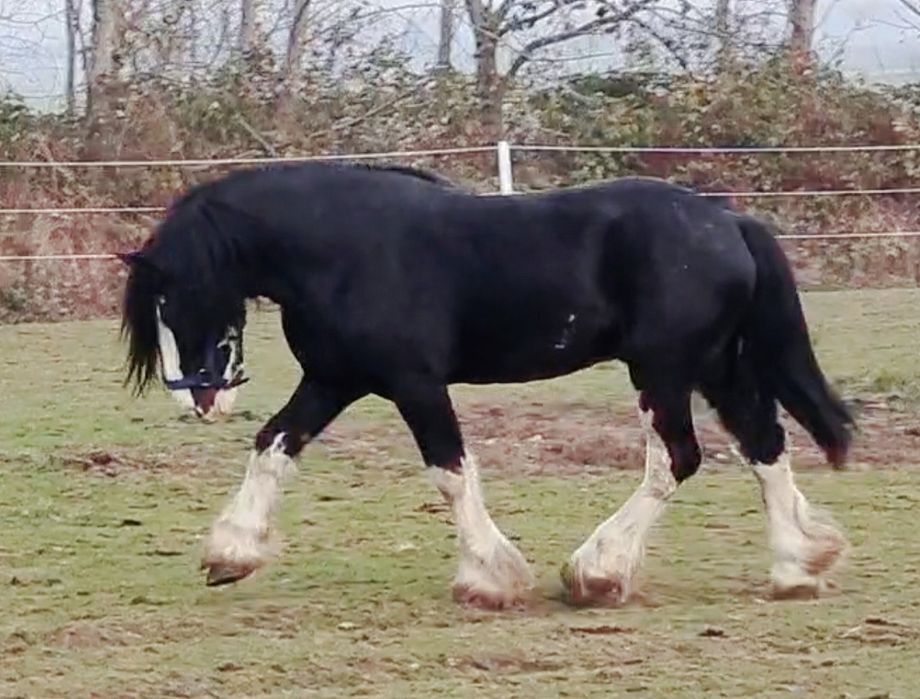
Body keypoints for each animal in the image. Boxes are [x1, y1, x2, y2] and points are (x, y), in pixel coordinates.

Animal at [119, 161, 854, 609]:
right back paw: (797, 566)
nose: (198, 396)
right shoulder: (334, 380)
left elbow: (450, 471)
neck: (340, 249)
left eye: (176, 298)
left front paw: (489, 578)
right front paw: (229, 553)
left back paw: (597, 571)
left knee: (676, 459)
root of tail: (730, 221)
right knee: (764, 444)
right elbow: (273, 447)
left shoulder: (414, 383)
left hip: (665, 370)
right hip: (715, 367)